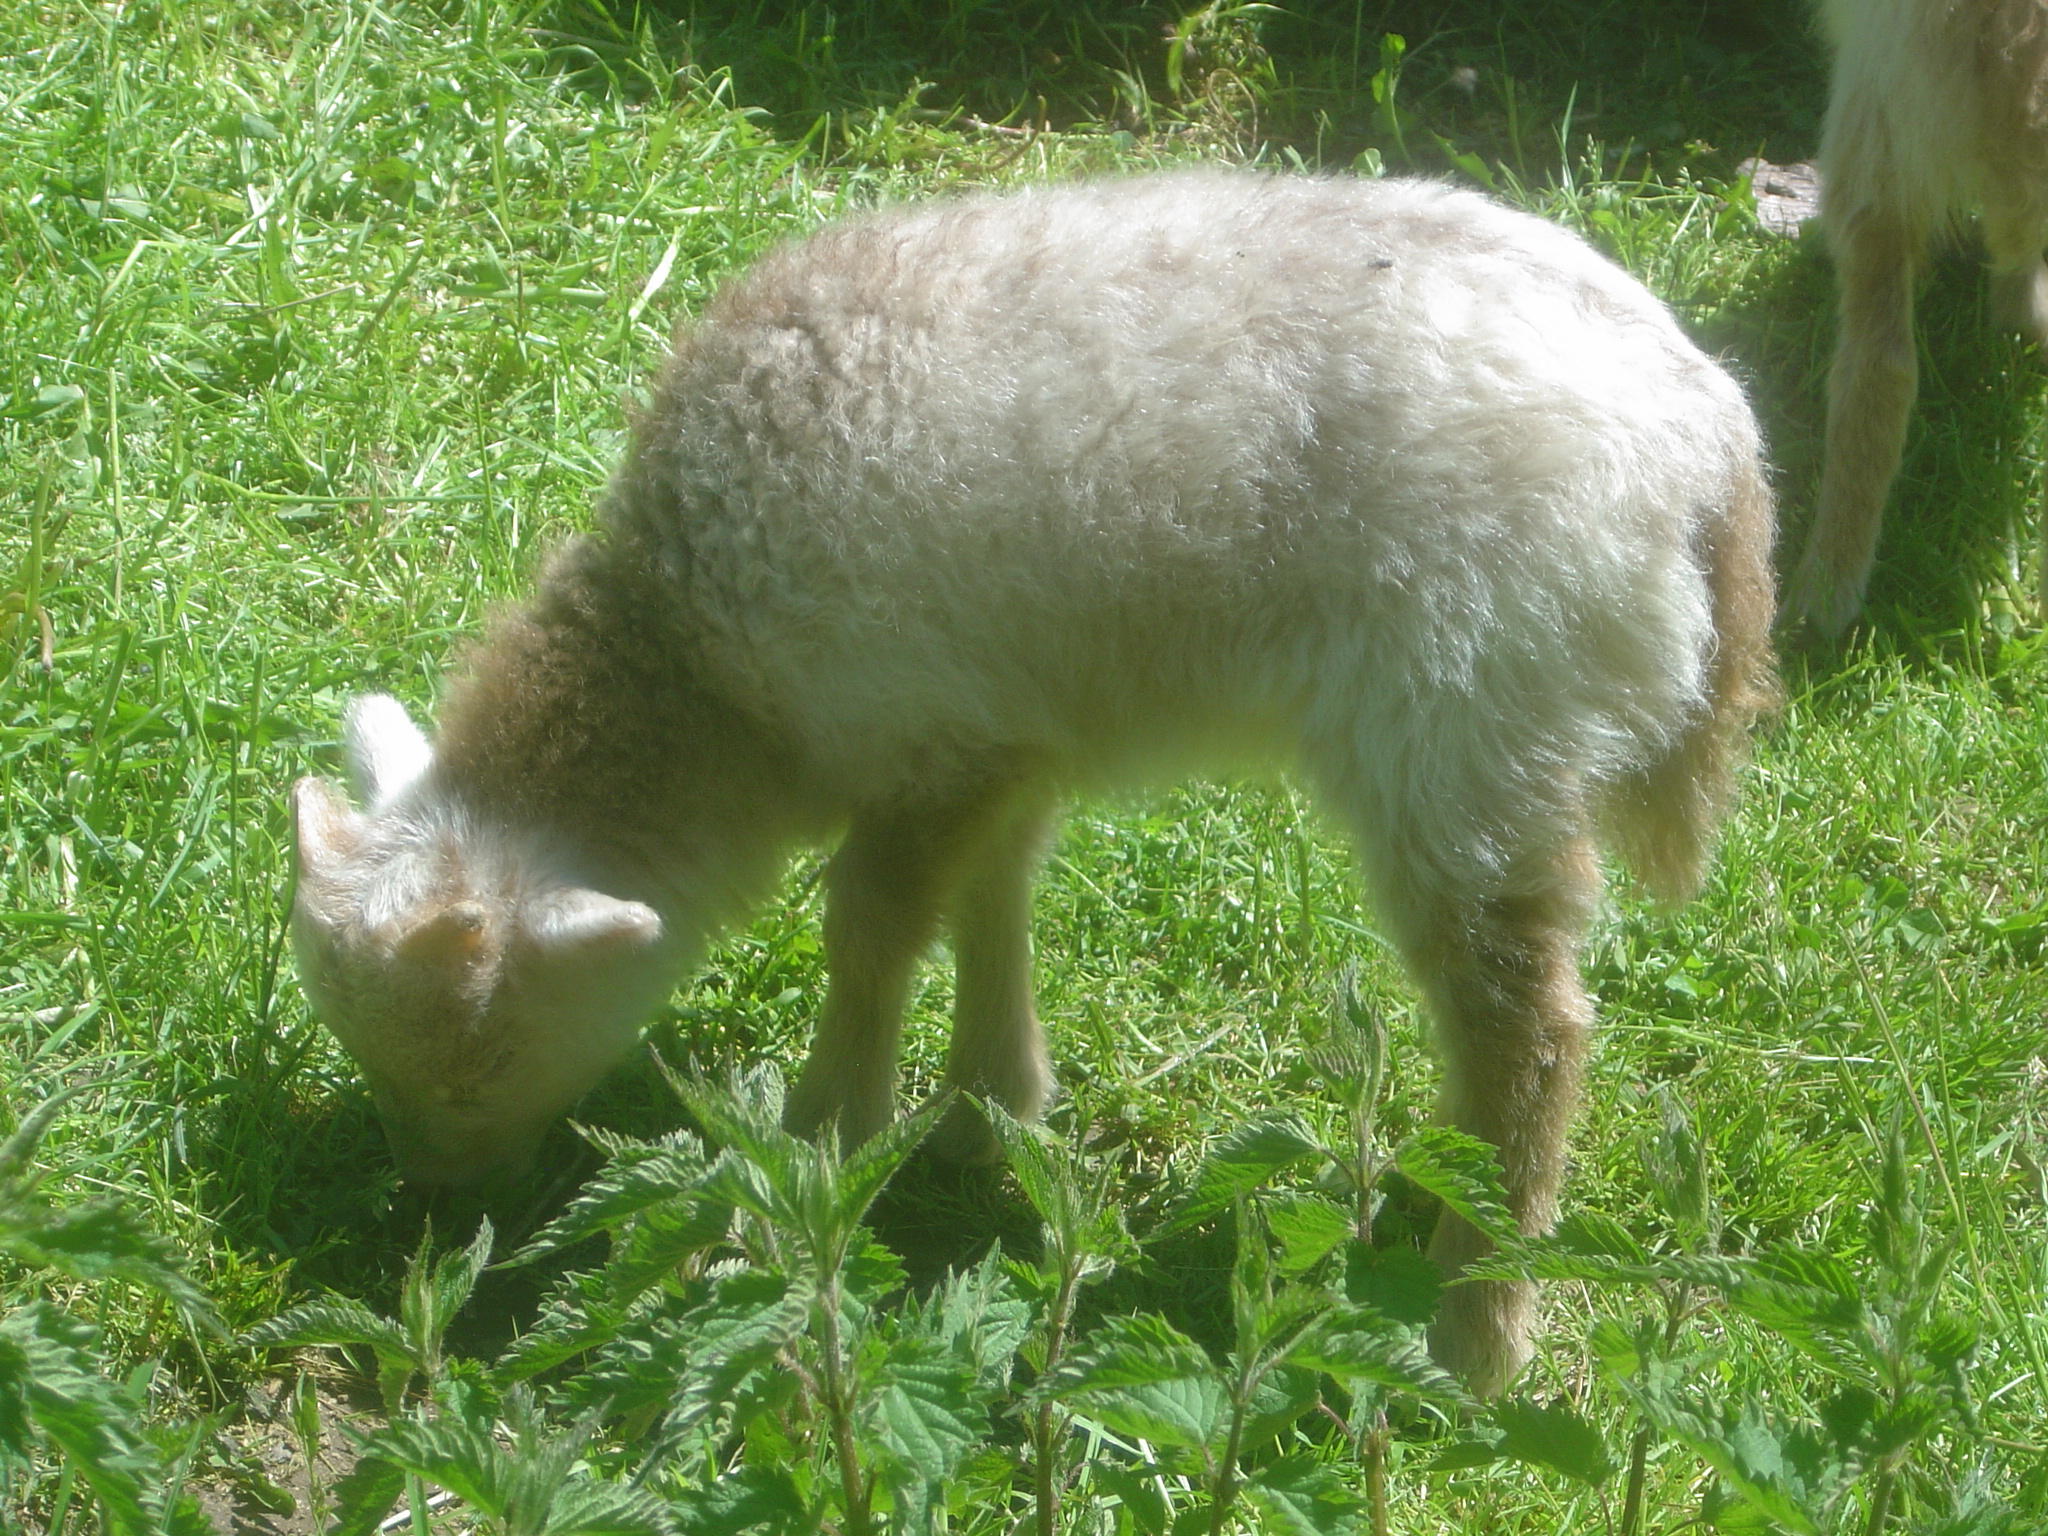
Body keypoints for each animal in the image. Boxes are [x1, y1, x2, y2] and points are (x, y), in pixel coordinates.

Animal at [284, 171, 1777, 1392]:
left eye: (486, 1055)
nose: (433, 1191)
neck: (703, 665)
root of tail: (1709, 441)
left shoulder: (915, 718)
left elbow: (871, 929)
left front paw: (824, 1140)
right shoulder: (999, 730)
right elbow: (992, 893)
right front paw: (987, 1104)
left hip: (1463, 731)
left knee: (1527, 1036)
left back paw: (1475, 1330)